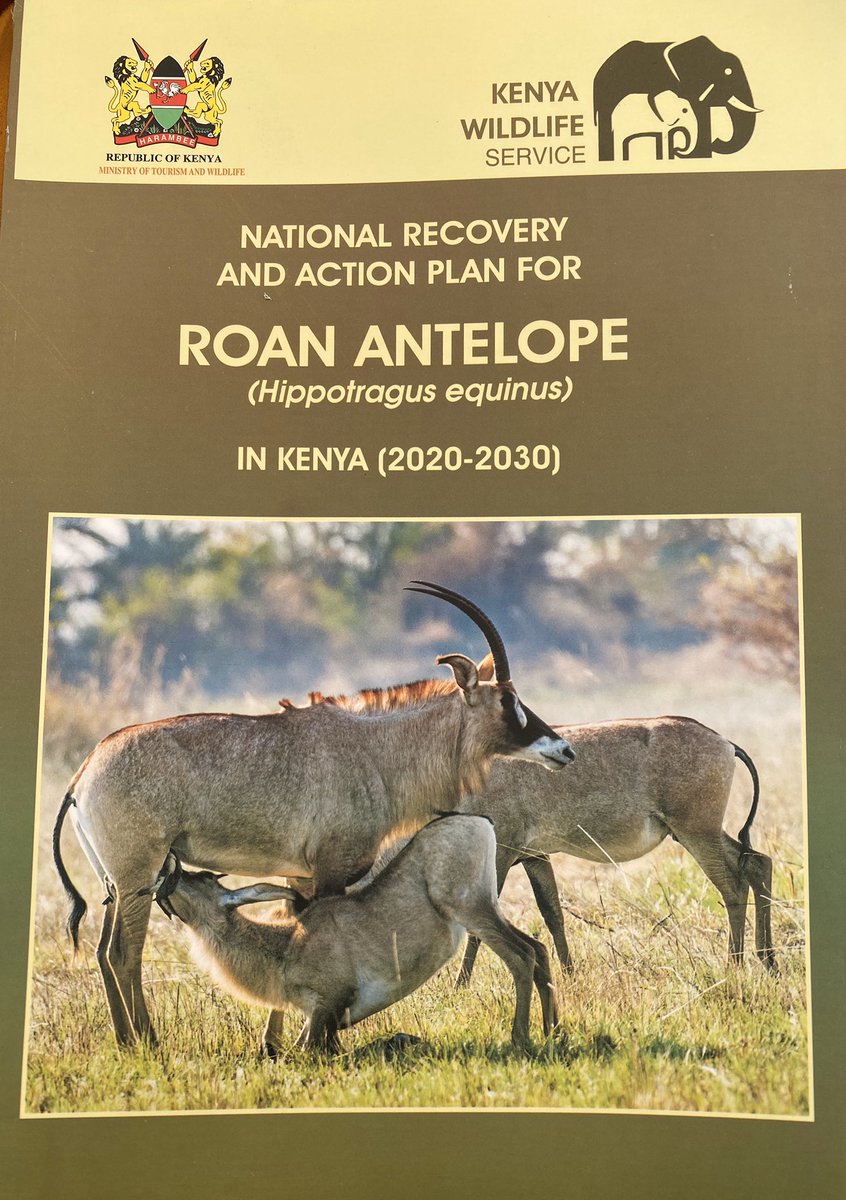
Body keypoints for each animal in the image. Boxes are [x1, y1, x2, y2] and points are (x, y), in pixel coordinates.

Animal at [140, 814, 558, 1054]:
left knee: (522, 955)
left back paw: (520, 1038)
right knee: (538, 947)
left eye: (204, 877)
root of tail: (482, 822)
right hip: (486, 906)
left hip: (469, 906)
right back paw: (554, 1029)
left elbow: (311, 1051)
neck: (283, 951)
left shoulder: (330, 1002)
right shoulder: (319, 1014)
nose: (167, 865)